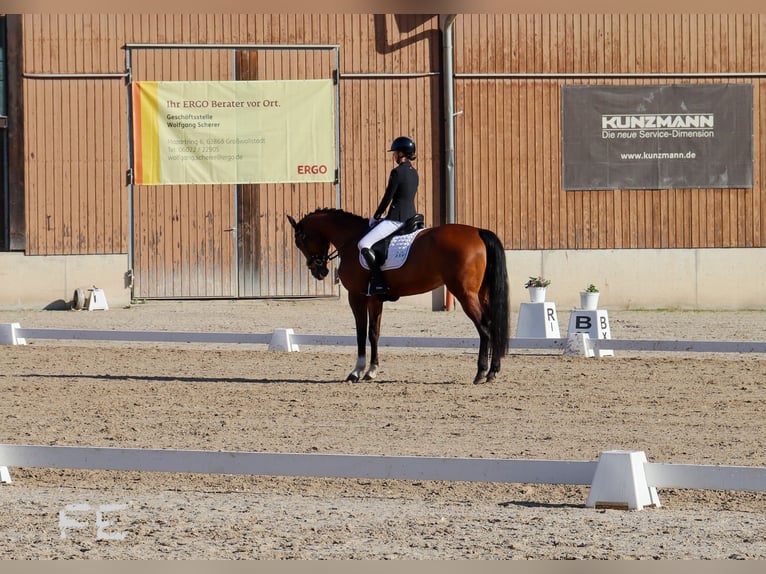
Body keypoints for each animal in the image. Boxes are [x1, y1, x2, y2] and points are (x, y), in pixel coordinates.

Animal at [287, 208, 510, 384]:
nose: (319, 272)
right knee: (494, 326)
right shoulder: (374, 299)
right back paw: (493, 372)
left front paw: (356, 372)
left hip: (465, 294)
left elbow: (360, 333)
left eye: (300, 241)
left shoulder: (356, 297)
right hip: (482, 294)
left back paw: (481, 373)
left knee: (485, 328)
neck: (350, 240)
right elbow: (374, 333)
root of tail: (478, 232)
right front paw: (371, 371)